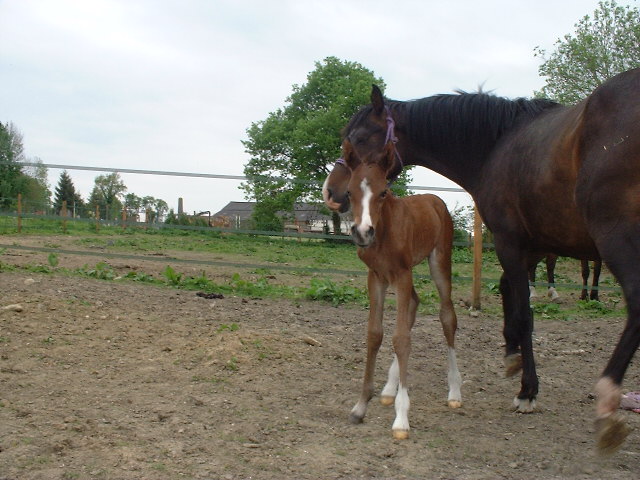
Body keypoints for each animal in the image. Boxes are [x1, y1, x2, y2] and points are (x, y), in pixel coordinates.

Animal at [342, 150, 462, 438]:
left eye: (383, 191)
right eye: (349, 191)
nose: (363, 232)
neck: (384, 230)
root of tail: (433, 199)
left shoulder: (402, 273)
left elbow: (401, 339)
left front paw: (401, 418)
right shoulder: (376, 276)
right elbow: (376, 334)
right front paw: (361, 407)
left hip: (439, 262)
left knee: (447, 316)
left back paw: (455, 392)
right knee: (414, 305)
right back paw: (389, 389)